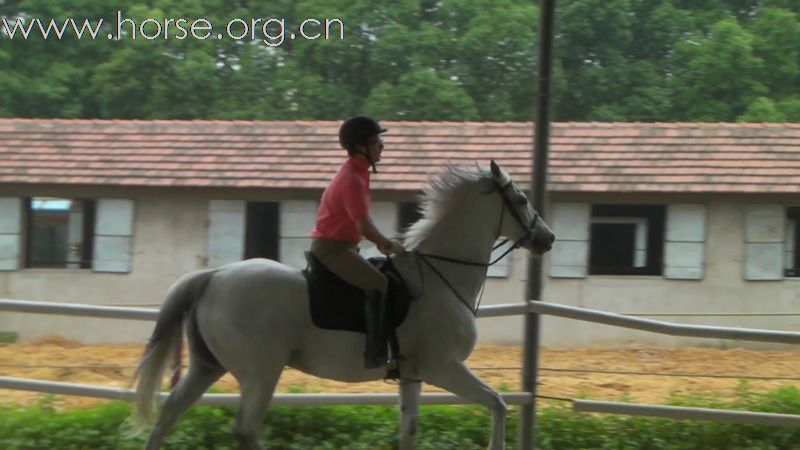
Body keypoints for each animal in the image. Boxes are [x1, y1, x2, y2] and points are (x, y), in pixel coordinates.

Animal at [131, 162, 552, 450]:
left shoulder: (412, 374)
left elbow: (409, 428)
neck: (440, 276)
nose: (546, 238)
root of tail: (214, 276)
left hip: (209, 365)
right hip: (260, 372)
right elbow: (497, 404)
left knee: (169, 413)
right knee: (245, 429)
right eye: (521, 199)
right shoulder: (443, 367)